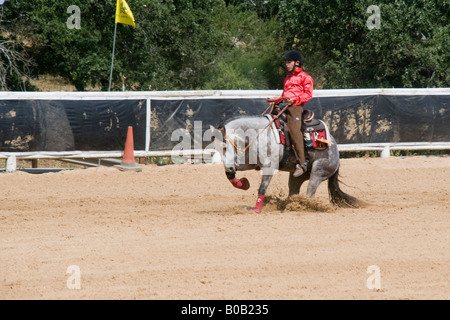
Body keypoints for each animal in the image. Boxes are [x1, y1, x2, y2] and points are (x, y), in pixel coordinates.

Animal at [209, 111, 360, 214]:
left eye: (224, 147)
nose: (230, 167)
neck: (260, 134)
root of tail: (335, 149)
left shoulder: (269, 167)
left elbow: (262, 188)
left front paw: (257, 209)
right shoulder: (250, 163)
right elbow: (231, 177)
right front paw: (244, 183)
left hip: (318, 173)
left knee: (310, 193)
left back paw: (306, 206)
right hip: (296, 178)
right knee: (294, 190)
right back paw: (291, 205)